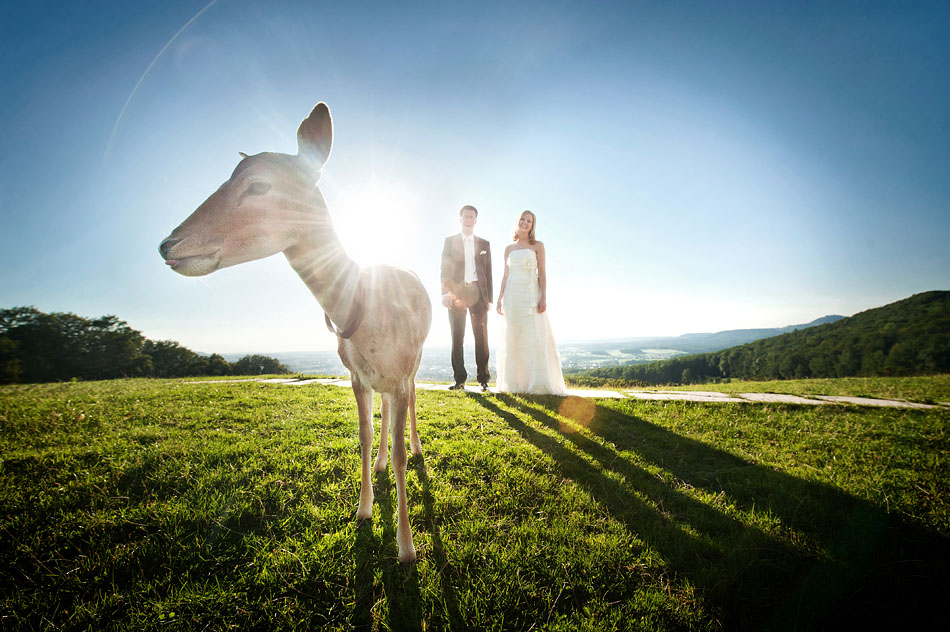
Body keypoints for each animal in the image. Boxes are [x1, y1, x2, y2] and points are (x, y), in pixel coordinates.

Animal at [161, 103, 436, 564]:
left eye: (258, 184)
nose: (168, 244)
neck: (367, 313)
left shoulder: (400, 371)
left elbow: (400, 450)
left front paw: (406, 548)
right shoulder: (355, 374)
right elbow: (362, 436)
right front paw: (362, 510)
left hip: (416, 362)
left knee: (413, 403)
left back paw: (417, 448)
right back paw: (380, 464)